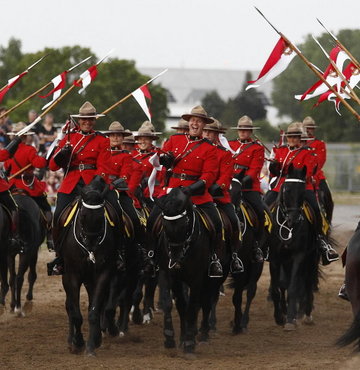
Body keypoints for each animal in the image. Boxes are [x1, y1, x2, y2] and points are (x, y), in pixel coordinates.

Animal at [61, 182, 117, 356]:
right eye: (83, 215)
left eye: (100, 217)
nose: (91, 246)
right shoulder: (72, 275)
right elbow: (76, 313)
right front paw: (78, 342)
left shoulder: (103, 273)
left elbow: (94, 310)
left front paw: (92, 344)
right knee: (69, 306)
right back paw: (71, 340)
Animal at [156, 189, 226, 354]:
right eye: (164, 225)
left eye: (185, 224)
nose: (175, 260)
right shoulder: (171, 276)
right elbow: (179, 304)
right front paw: (176, 338)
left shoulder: (196, 278)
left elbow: (193, 306)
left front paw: (189, 344)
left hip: (213, 279)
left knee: (206, 303)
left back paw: (203, 334)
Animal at [268, 165, 320, 330]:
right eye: (287, 189)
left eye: (303, 191)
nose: (294, 219)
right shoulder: (275, 258)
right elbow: (278, 287)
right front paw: (279, 317)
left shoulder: (299, 255)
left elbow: (293, 287)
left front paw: (290, 320)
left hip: (312, 258)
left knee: (308, 282)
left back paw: (307, 314)